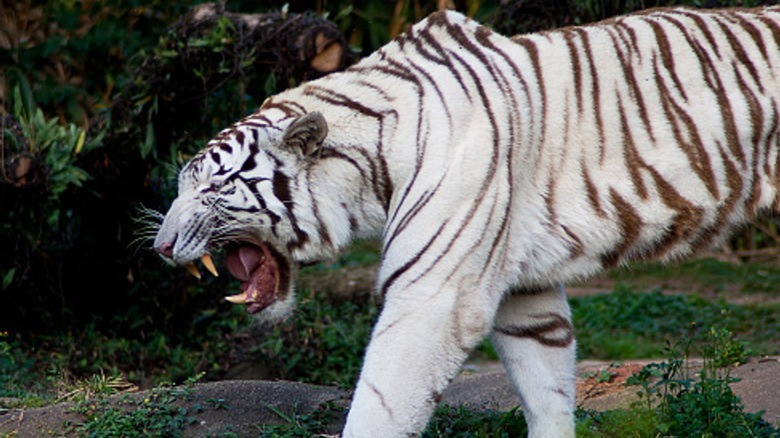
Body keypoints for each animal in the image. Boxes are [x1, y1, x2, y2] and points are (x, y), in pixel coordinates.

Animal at [155, 7, 780, 438]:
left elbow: (380, 405)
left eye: (212, 187)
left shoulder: (436, 296)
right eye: (185, 185)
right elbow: (547, 386)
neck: (374, 164)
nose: (160, 246)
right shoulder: (526, 292)